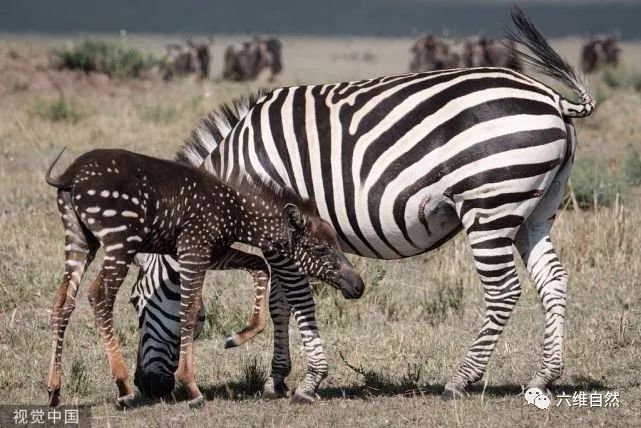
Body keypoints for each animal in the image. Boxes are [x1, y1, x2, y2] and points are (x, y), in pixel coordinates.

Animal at [45, 147, 364, 408]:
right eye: (320, 250)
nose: (358, 285)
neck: (234, 209)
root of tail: (71, 175)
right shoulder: (194, 249)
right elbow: (188, 311)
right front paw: (192, 387)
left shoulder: (216, 252)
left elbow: (260, 267)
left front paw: (240, 335)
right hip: (119, 242)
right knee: (99, 296)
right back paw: (122, 386)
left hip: (79, 241)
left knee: (63, 302)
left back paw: (54, 389)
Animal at [131, 8, 596, 402]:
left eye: (137, 303)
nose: (146, 386)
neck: (239, 173)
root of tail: (551, 97)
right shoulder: (282, 241)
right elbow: (282, 302)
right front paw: (276, 378)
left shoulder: (284, 230)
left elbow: (299, 299)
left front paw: (310, 381)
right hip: (534, 210)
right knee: (553, 279)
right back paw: (543, 377)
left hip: (490, 204)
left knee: (503, 290)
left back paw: (461, 379)